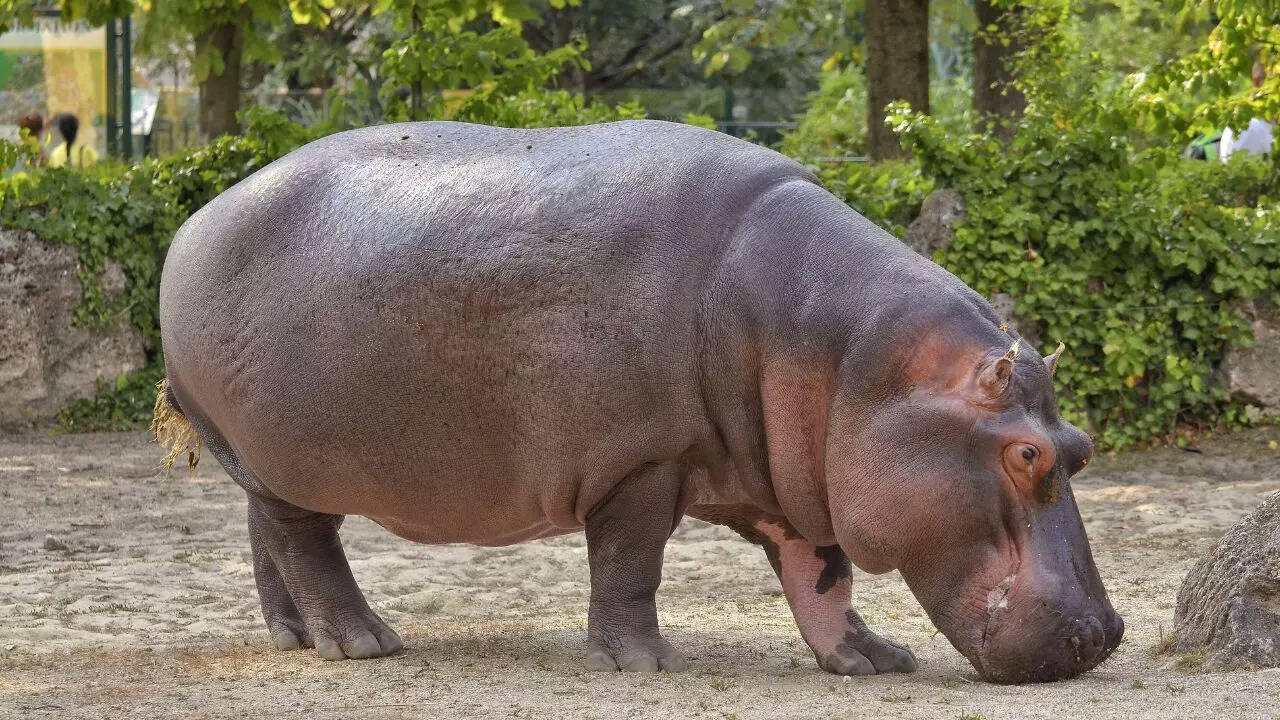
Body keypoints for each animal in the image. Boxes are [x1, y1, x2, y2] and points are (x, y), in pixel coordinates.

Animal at [155, 119, 1122, 683]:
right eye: (1026, 453)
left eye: (1080, 444)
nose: (1106, 632)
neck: (856, 359)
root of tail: (194, 223)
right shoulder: (643, 461)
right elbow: (631, 563)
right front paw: (646, 662)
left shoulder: (799, 480)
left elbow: (825, 573)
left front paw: (874, 660)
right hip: (287, 457)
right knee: (306, 545)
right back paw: (364, 642)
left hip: (262, 457)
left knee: (268, 537)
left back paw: (293, 639)